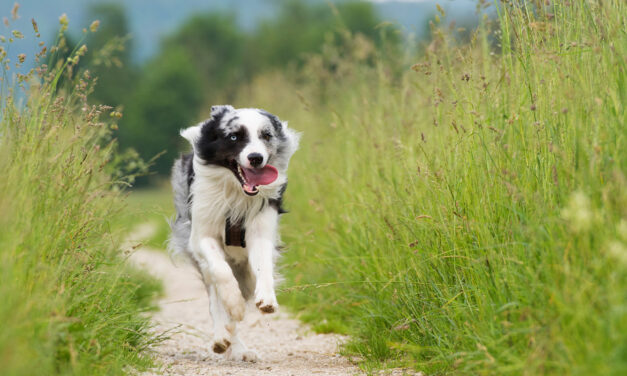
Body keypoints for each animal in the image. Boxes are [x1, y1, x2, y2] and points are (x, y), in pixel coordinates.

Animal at [168, 105, 300, 362]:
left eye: (266, 135)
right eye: (234, 137)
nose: (256, 158)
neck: (237, 193)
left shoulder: (261, 230)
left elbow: (263, 266)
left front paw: (267, 298)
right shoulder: (201, 236)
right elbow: (221, 273)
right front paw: (234, 304)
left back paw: (238, 348)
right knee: (215, 296)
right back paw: (222, 337)